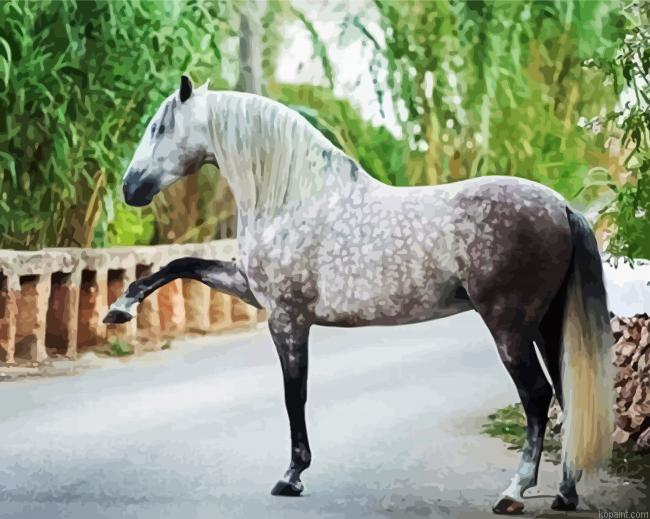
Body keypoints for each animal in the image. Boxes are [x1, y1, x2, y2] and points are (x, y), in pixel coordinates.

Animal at [104, 75, 614, 514]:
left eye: (159, 127)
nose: (130, 188)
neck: (294, 198)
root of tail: (561, 206)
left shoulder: (286, 318)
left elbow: (294, 394)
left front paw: (292, 476)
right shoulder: (249, 289)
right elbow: (181, 265)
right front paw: (119, 309)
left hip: (509, 326)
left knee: (537, 396)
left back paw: (513, 492)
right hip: (545, 323)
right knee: (565, 395)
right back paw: (565, 493)